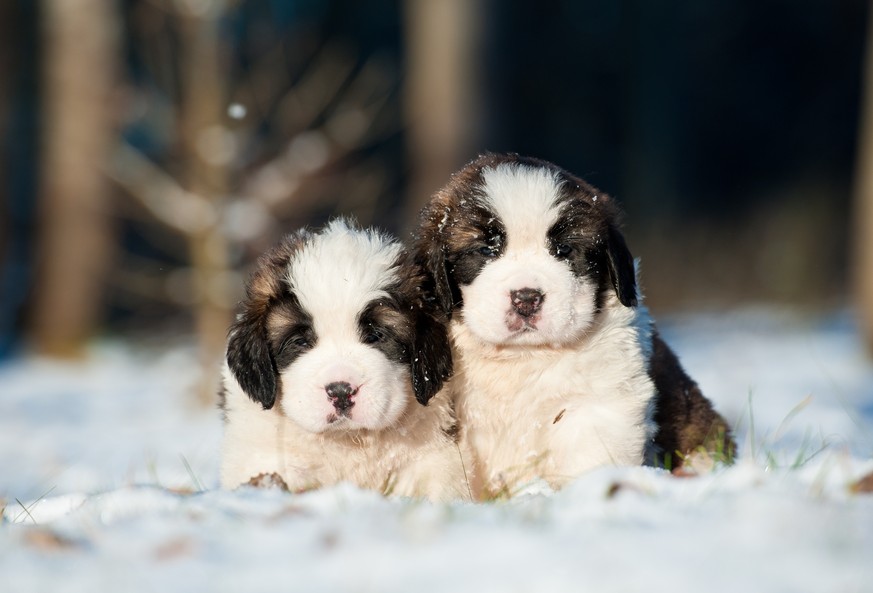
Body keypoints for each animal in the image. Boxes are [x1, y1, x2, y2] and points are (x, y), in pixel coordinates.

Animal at [220, 217, 470, 500]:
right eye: (299, 342)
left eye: (375, 335)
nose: (340, 391)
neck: (348, 440)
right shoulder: (261, 453)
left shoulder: (436, 458)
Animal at [412, 151, 732, 494]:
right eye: (485, 250)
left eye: (564, 249)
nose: (526, 298)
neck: (523, 357)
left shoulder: (602, 401)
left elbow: (590, 453)